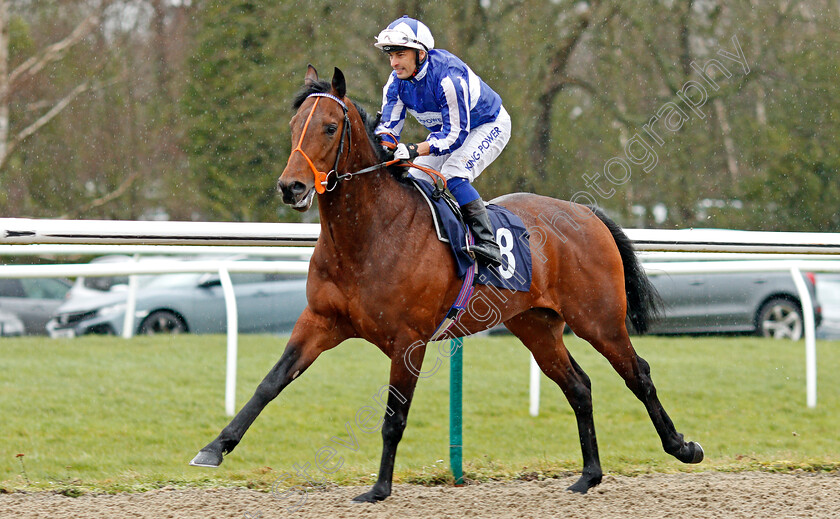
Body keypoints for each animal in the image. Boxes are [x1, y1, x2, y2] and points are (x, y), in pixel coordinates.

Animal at [190, 65, 704, 504]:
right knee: (578, 386)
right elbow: (269, 383)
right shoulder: (320, 321)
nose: (291, 187)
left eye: (330, 127)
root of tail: (586, 213)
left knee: (638, 373)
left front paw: (379, 488)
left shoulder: (408, 340)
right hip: (536, 326)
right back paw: (589, 476)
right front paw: (214, 447)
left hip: (599, 319)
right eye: (295, 123)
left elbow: (393, 417)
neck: (369, 236)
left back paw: (683, 447)